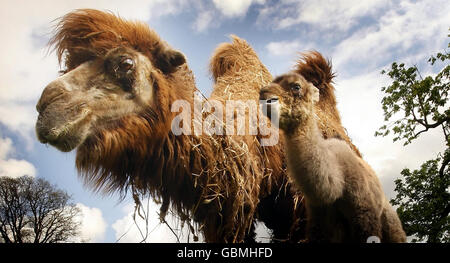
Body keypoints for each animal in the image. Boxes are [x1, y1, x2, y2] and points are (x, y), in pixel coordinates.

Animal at [258, 72, 406, 243]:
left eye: (296, 86)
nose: (263, 94)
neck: (336, 185)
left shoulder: (366, 215)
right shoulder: (318, 220)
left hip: (391, 224)